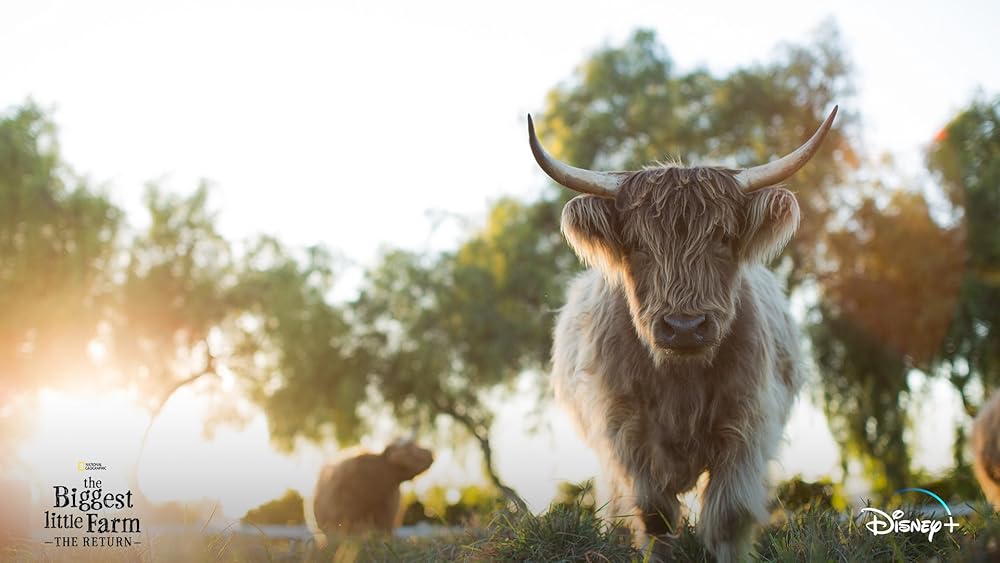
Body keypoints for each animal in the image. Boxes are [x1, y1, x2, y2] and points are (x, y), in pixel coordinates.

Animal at [532, 108, 836, 560]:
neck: (680, 380)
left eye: (724, 238)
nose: (684, 327)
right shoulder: (625, 430)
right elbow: (654, 515)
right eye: (638, 244)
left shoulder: (747, 424)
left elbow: (730, 516)